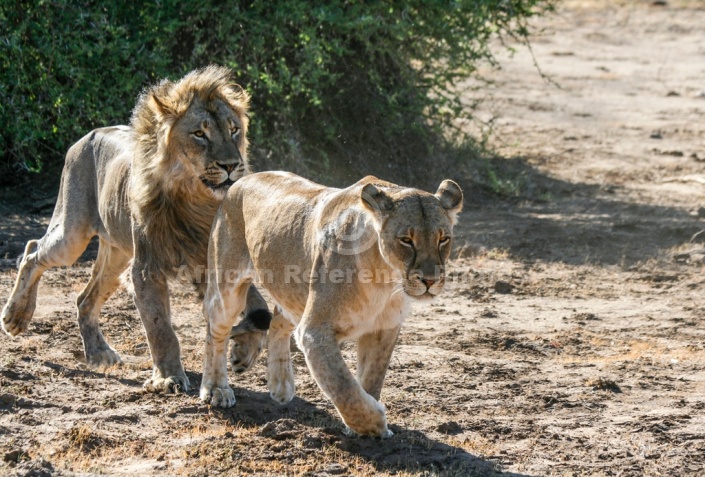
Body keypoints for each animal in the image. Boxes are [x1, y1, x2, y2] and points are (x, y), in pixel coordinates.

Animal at [1, 65, 270, 390]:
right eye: (199, 134)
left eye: (234, 130)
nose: (231, 165)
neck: (197, 202)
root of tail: (89, 134)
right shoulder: (146, 268)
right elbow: (160, 328)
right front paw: (168, 377)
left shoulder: (219, 265)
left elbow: (261, 307)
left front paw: (243, 353)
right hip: (72, 235)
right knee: (32, 251)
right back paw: (15, 317)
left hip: (116, 255)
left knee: (84, 299)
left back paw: (99, 353)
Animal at [201, 171, 462, 436]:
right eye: (406, 240)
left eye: (444, 239)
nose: (430, 280)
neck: (384, 279)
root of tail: (245, 179)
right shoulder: (315, 331)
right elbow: (343, 385)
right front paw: (375, 423)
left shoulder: (383, 329)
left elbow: (371, 378)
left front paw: (364, 425)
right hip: (227, 290)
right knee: (215, 333)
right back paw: (216, 388)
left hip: (295, 295)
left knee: (277, 323)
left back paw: (280, 385)